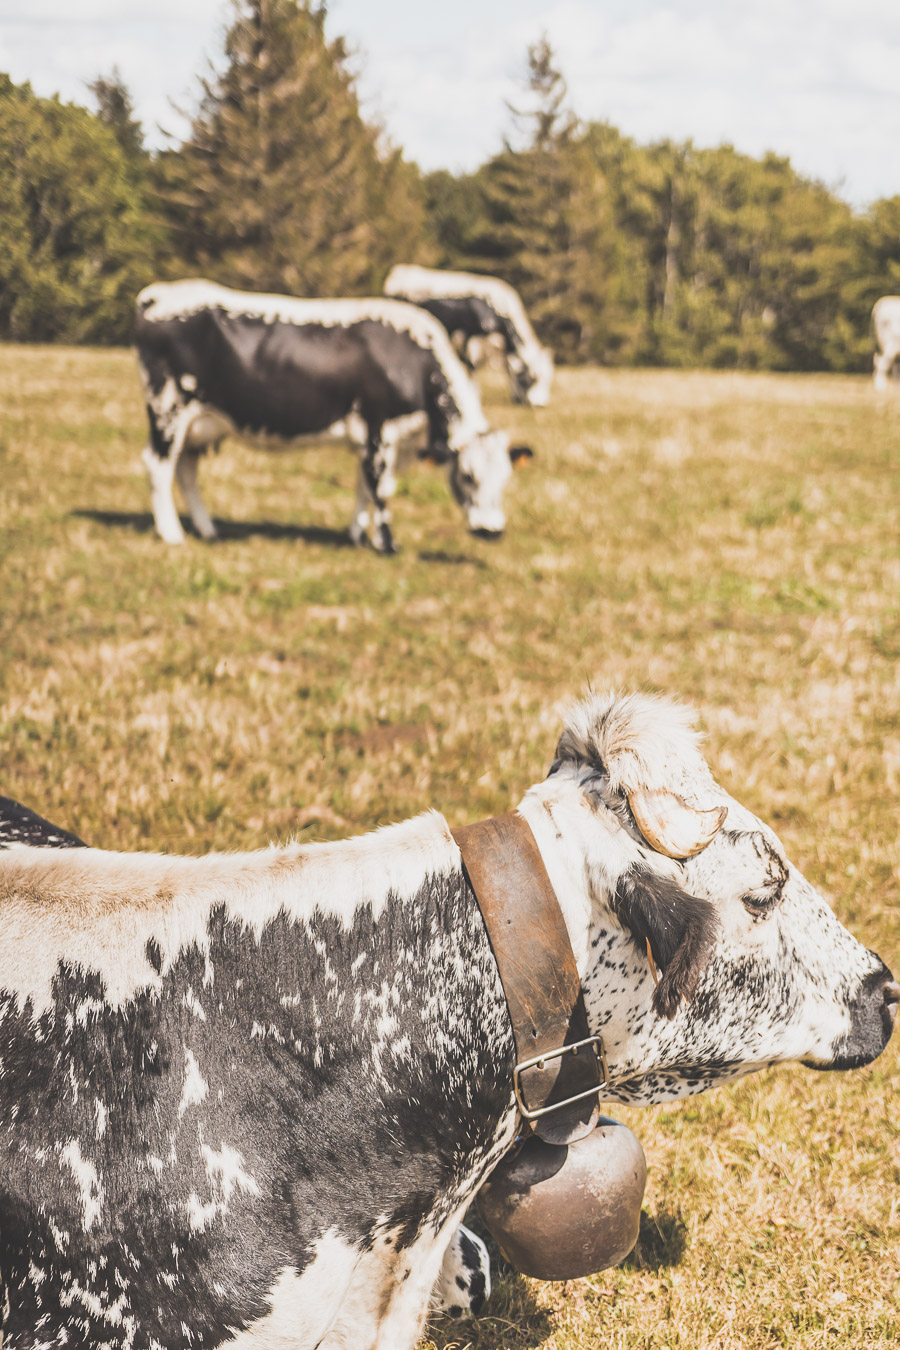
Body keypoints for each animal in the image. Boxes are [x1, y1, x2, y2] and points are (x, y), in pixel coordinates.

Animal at [133, 279, 531, 553]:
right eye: (467, 477)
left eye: (506, 479)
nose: (491, 531)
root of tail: (159, 294)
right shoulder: (379, 430)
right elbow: (381, 489)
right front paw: (387, 543)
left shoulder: (378, 441)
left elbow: (363, 487)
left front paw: (357, 535)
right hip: (168, 409)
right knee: (158, 466)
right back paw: (172, 534)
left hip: (198, 423)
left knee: (185, 470)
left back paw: (207, 529)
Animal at [383, 263, 553, 405]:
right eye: (533, 378)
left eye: (548, 379)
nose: (540, 404)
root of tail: (399, 271)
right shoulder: (471, 337)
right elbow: (473, 365)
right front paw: (474, 396)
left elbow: (508, 368)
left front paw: (515, 395)